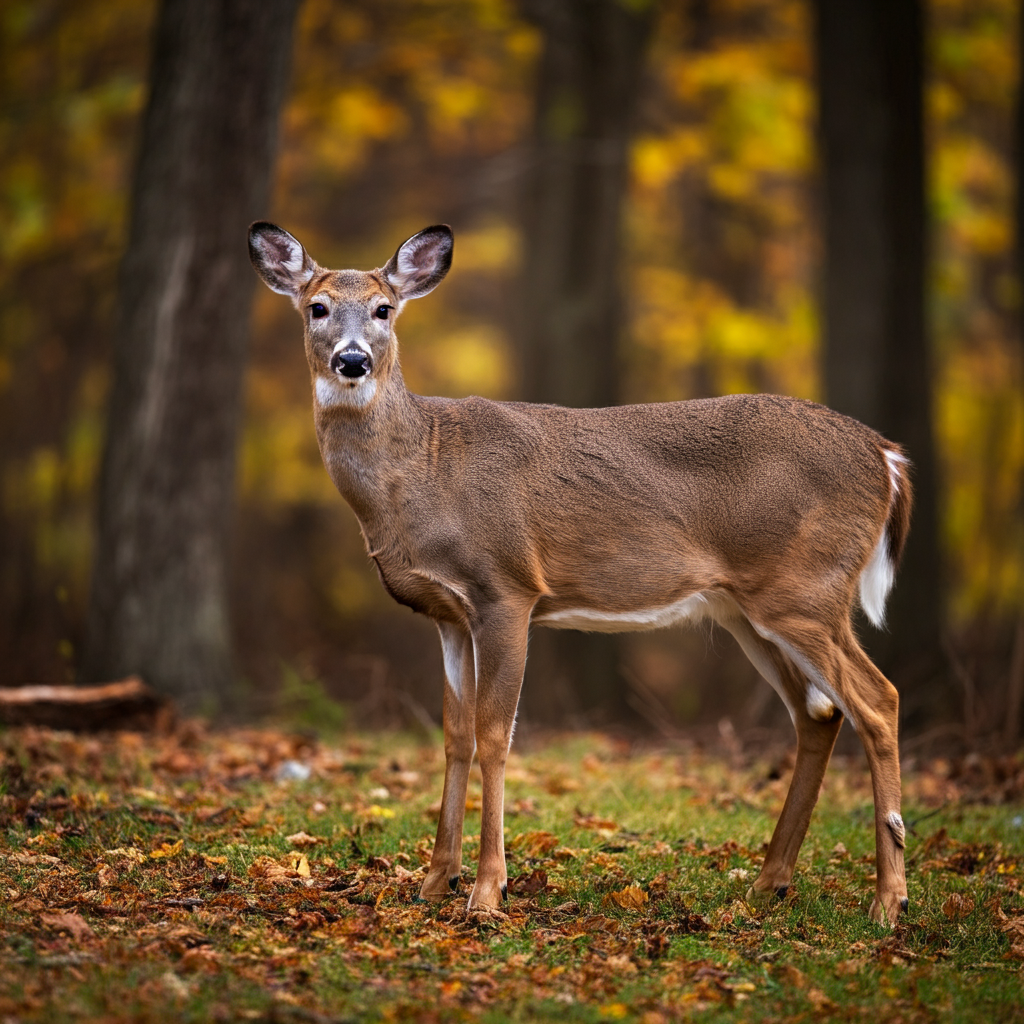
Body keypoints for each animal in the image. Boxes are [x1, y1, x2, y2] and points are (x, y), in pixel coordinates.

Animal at [247, 220, 913, 925]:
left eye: (383, 309)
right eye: (317, 308)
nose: (352, 361)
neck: (422, 470)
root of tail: (886, 456)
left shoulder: (507, 589)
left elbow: (494, 736)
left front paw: (487, 892)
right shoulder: (448, 614)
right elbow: (454, 735)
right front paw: (433, 883)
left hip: (807, 589)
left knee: (877, 701)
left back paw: (888, 901)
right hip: (748, 611)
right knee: (819, 713)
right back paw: (769, 884)